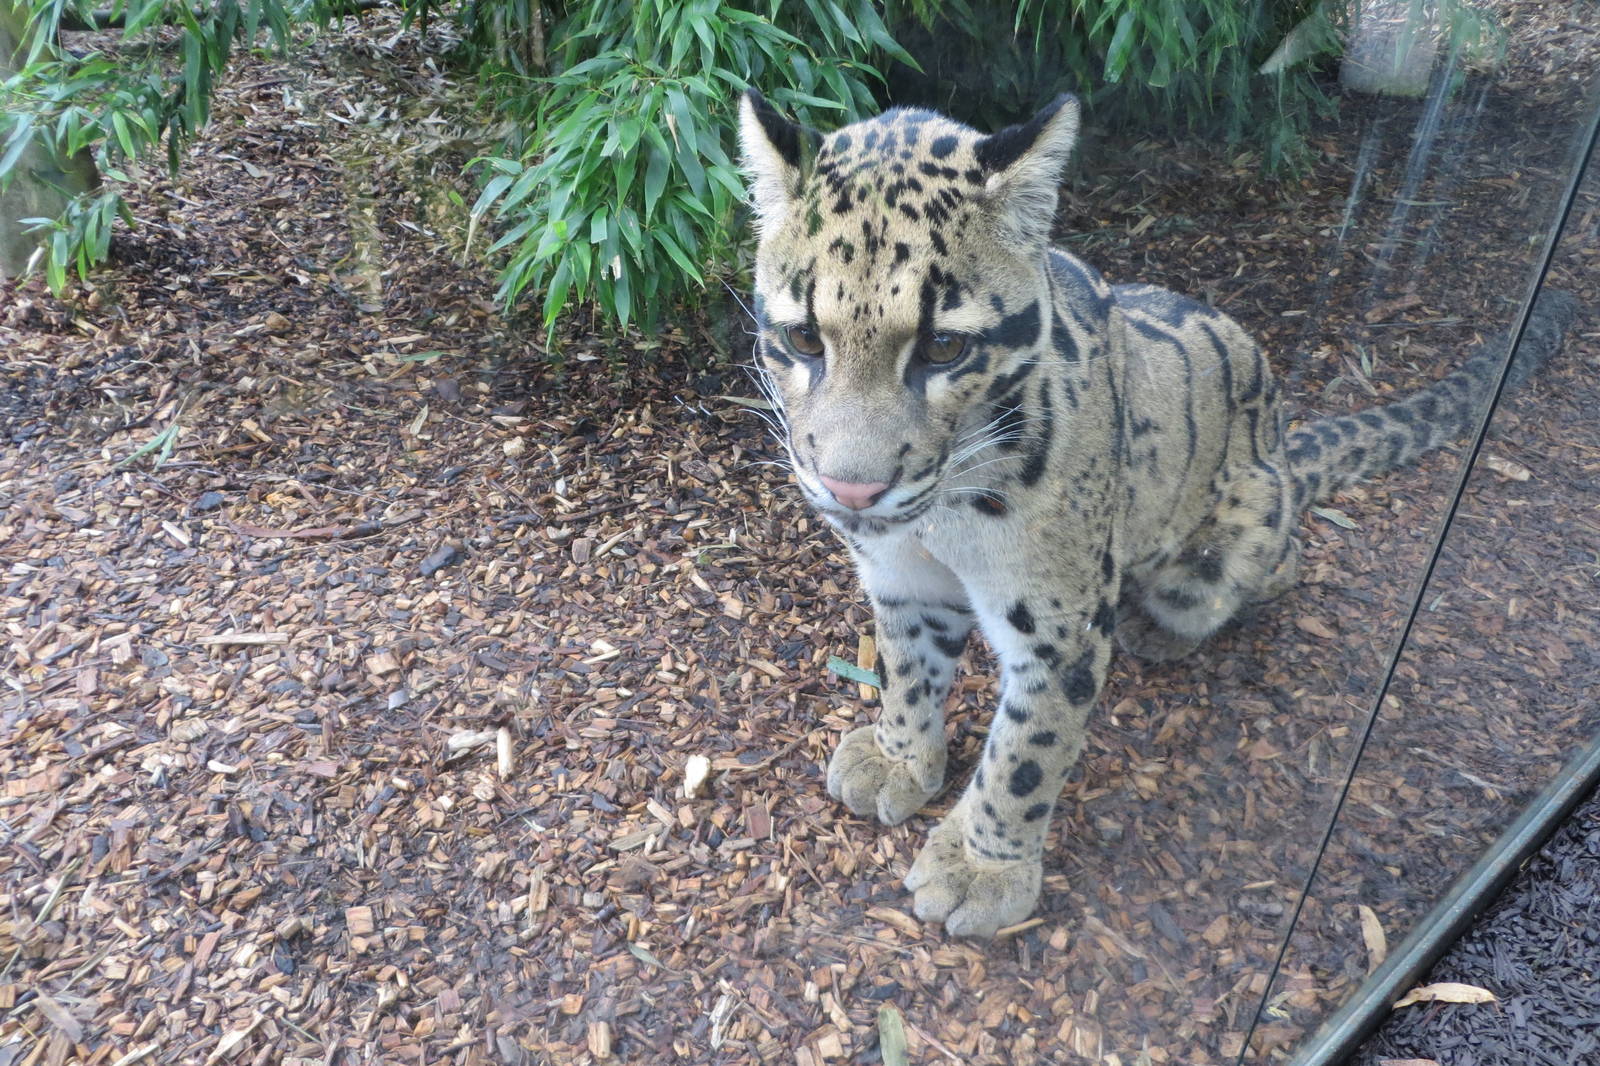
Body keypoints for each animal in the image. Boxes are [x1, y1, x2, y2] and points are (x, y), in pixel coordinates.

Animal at [736, 88, 1576, 938]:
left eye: (944, 348)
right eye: (804, 338)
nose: (851, 490)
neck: (941, 518)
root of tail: (1281, 444)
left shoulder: (1060, 626)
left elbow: (1024, 757)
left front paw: (981, 868)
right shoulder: (902, 579)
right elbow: (907, 670)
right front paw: (898, 757)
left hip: (1230, 543)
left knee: (1279, 565)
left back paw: (1163, 627)